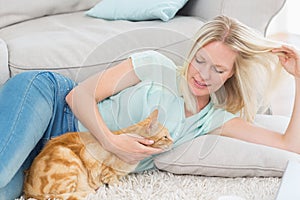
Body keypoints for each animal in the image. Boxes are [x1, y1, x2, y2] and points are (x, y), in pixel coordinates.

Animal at [22, 110, 172, 199]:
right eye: (165, 137)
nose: (173, 141)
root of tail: (27, 188)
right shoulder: (101, 166)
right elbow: (114, 180)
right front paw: (122, 186)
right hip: (68, 158)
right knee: (62, 195)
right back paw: (90, 191)